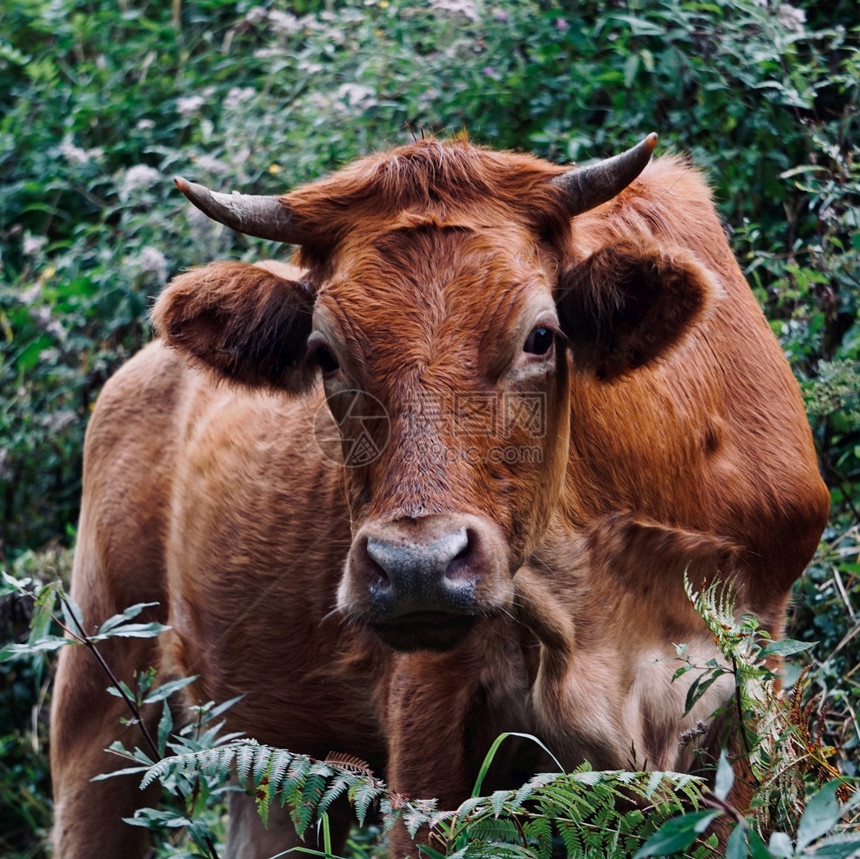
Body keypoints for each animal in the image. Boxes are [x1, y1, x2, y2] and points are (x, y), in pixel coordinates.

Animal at [52, 134, 828, 852]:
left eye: (541, 336)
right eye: (324, 354)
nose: (416, 566)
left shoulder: (747, 691)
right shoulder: (428, 721)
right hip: (99, 690)